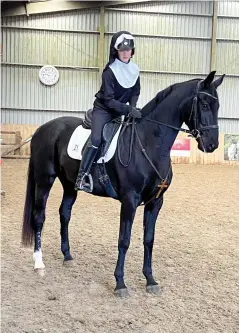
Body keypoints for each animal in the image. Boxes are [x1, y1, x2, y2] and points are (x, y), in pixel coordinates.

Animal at [20, 70, 224, 296]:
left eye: (217, 106)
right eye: (204, 104)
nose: (212, 144)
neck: (149, 144)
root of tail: (42, 129)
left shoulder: (155, 203)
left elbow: (149, 239)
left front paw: (150, 280)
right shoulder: (129, 200)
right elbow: (124, 240)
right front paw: (120, 283)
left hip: (69, 184)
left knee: (64, 214)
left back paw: (67, 256)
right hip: (44, 179)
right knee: (39, 217)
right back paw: (39, 264)